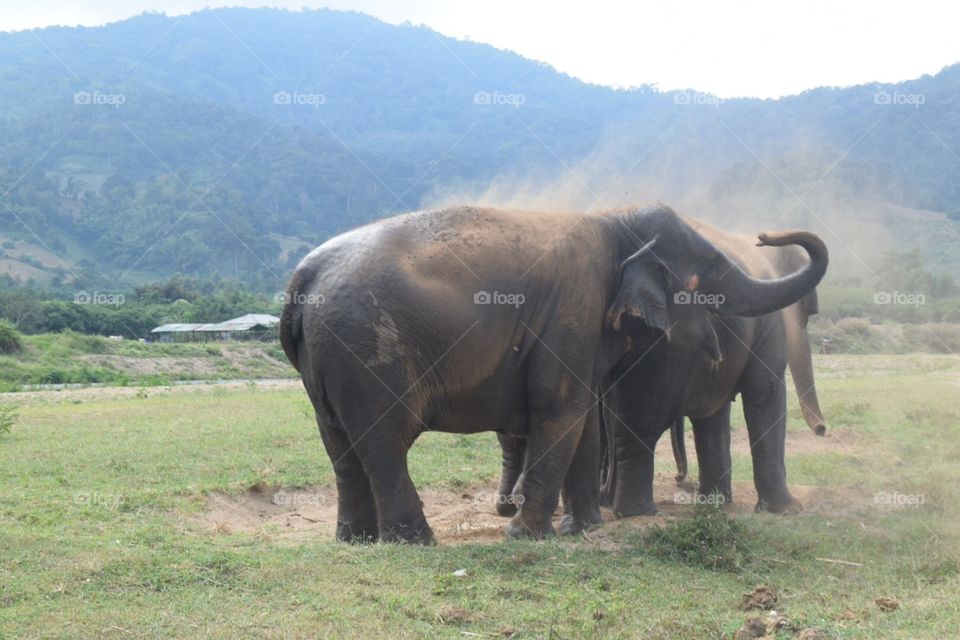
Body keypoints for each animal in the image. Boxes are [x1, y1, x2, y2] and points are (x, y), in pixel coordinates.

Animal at [279, 205, 828, 543]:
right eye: (712, 268)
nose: (766, 236)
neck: (613, 220)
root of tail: (302, 278)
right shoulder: (574, 307)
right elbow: (560, 408)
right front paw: (527, 535)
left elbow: (578, 414)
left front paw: (581, 530)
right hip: (366, 349)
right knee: (383, 439)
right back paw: (416, 541)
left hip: (326, 361)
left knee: (339, 443)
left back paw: (356, 541)